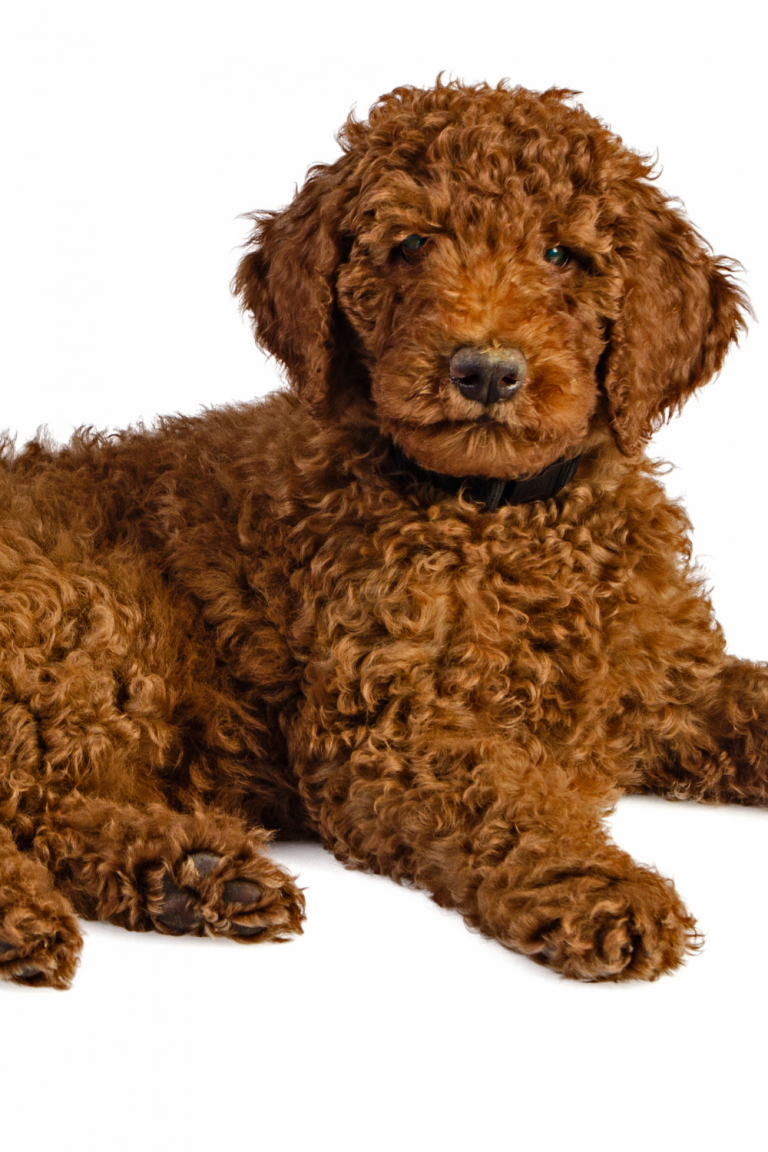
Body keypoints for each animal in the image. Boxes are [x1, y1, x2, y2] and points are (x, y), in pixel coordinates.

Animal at [0, 78, 755, 981]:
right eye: (412, 245)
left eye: (561, 255)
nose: (486, 372)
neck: (503, 512)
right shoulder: (385, 737)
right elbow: (506, 801)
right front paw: (597, 885)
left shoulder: (677, 683)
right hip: (89, 612)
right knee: (24, 797)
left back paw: (193, 876)